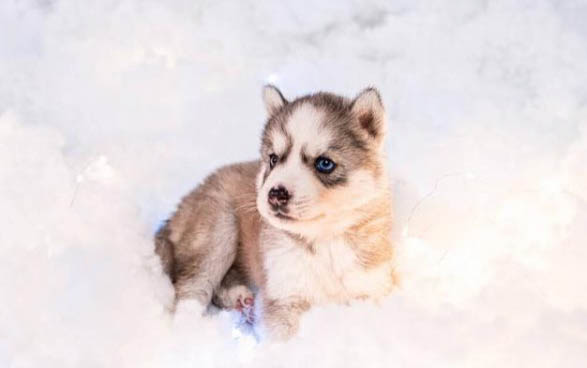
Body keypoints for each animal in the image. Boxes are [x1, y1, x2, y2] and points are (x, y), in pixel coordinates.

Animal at [156, 85, 396, 340]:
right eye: (273, 159)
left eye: (324, 163)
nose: (275, 194)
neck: (324, 241)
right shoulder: (285, 296)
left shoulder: (370, 289)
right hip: (218, 227)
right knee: (191, 288)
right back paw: (188, 329)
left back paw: (239, 297)